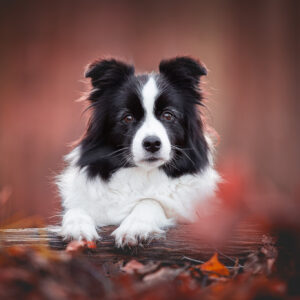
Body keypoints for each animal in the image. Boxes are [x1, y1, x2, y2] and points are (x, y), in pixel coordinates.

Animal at [56, 57, 220, 247]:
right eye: (127, 118)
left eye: (168, 115)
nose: (152, 143)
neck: (142, 174)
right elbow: (77, 208)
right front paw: (77, 227)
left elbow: (150, 201)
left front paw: (134, 227)